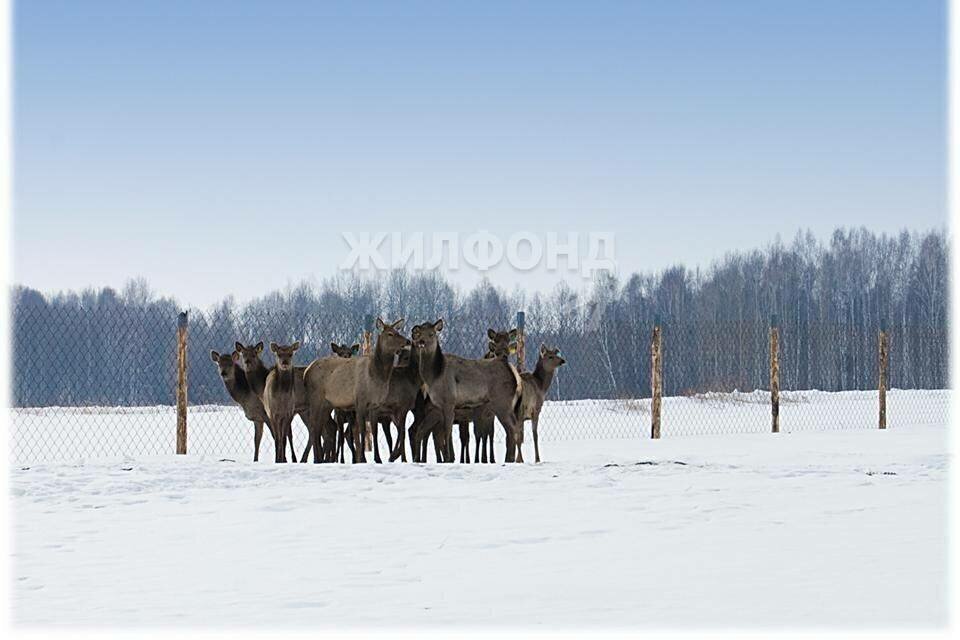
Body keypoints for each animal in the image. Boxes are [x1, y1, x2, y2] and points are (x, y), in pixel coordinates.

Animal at [406, 320, 520, 464]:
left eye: (431, 334)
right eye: (420, 332)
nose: (420, 341)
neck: (435, 375)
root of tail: (513, 374)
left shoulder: (449, 401)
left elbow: (448, 432)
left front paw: (448, 458)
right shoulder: (438, 407)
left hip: (502, 402)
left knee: (512, 428)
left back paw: (510, 459)